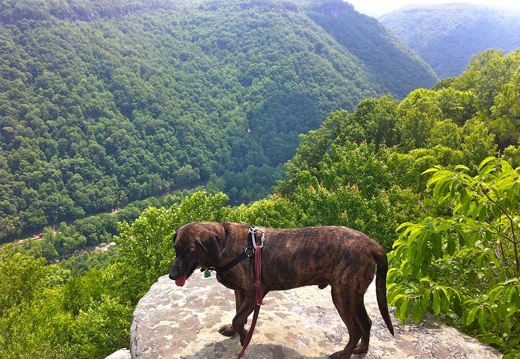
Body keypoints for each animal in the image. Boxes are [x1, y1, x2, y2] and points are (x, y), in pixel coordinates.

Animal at [171, 222, 394, 359]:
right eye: (175, 249)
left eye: (190, 251)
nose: (172, 275)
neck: (226, 244)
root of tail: (372, 244)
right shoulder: (240, 292)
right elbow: (237, 315)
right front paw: (235, 332)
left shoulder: (254, 292)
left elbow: (238, 318)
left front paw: (244, 337)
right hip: (353, 294)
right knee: (367, 323)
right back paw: (361, 349)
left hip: (342, 295)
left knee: (355, 329)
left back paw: (344, 354)